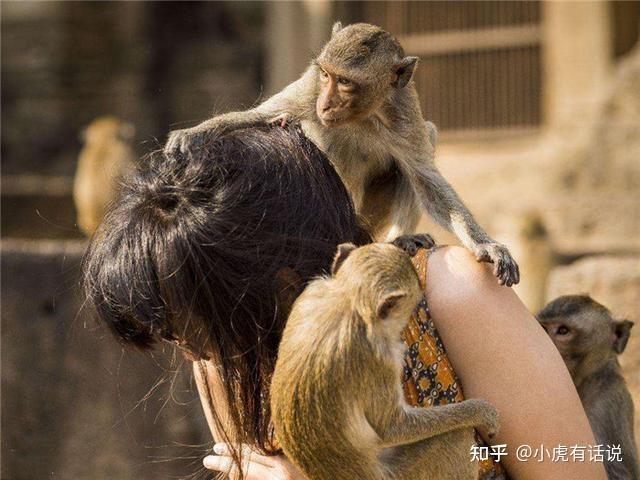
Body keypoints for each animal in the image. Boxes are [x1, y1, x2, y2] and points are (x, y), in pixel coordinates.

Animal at [165, 21, 520, 284]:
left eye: (346, 82)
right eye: (326, 75)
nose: (325, 104)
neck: (362, 115)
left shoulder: (403, 112)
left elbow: (426, 181)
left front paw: (486, 245)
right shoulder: (310, 87)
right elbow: (259, 115)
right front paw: (193, 136)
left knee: (424, 143)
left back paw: (398, 240)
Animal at [270, 244, 500, 480]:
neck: (349, 301)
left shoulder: (310, 294)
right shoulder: (378, 360)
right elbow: (392, 428)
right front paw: (481, 412)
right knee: (457, 435)